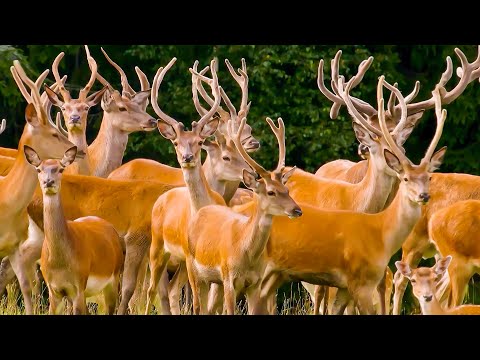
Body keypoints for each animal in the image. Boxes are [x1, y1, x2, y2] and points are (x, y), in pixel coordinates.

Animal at [23, 146, 124, 316]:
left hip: (113, 278)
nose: (48, 181)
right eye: (39, 169)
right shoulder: (54, 289)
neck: (60, 262)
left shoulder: (78, 286)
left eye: (61, 169)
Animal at [186, 116, 302, 314]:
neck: (245, 251)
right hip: (193, 270)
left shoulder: (255, 283)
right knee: (197, 305)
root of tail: (202, 209)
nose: (297, 210)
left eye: (286, 190)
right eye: (271, 192)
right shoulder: (229, 278)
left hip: (213, 280)